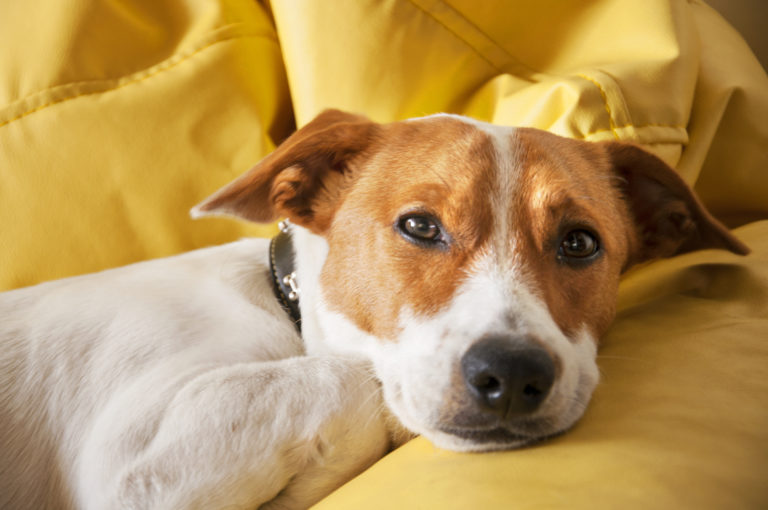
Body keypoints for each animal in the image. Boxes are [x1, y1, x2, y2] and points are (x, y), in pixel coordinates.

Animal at [0, 109, 744, 508]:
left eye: (580, 243)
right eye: (419, 227)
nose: (512, 376)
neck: (288, 313)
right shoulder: (131, 464)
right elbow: (355, 380)